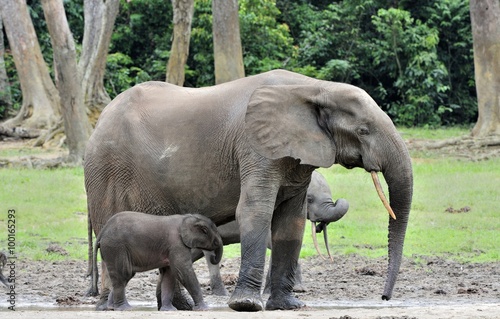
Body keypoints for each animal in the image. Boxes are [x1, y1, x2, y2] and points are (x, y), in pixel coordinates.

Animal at [94, 212, 223, 312]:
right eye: (211, 233)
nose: (213, 258)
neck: (187, 218)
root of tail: (103, 230)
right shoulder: (176, 244)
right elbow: (183, 271)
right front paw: (205, 309)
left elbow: (169, 275)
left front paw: (169, 310)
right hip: (115, 247)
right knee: (124, 273)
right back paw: (124, 308)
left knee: (124, 276)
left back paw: (112, 308)